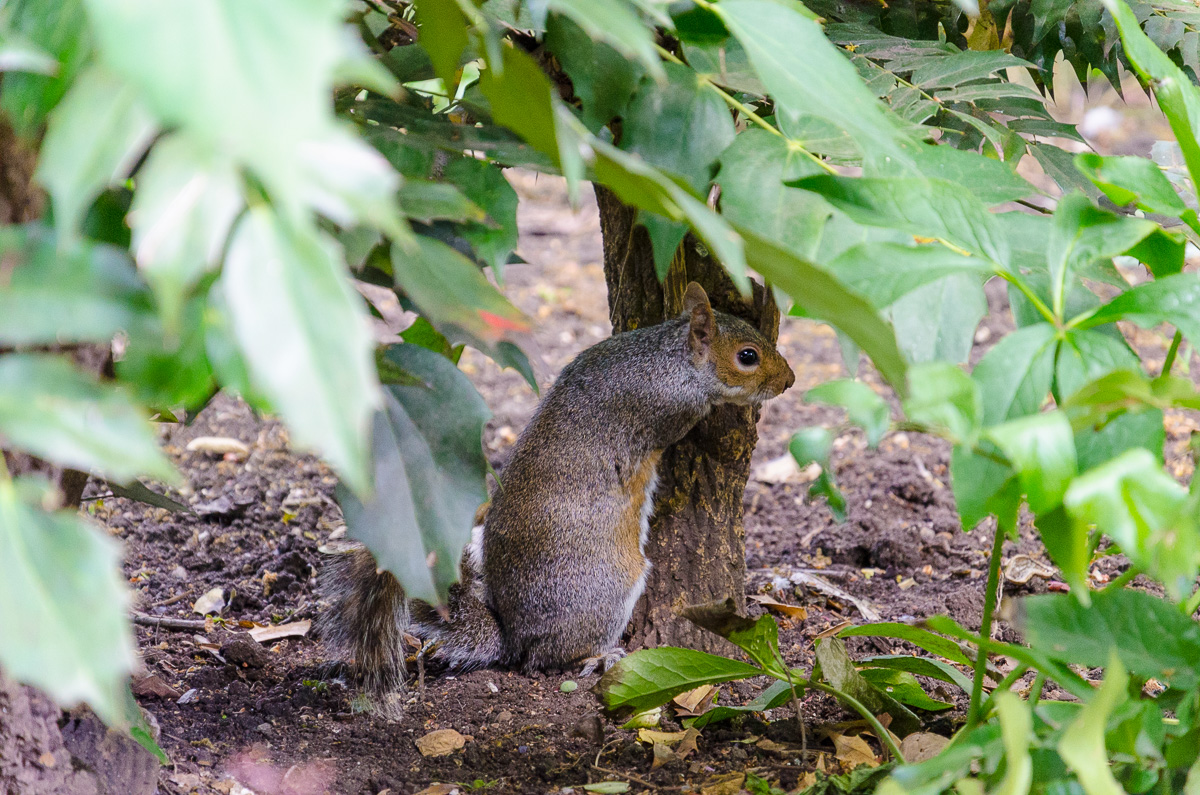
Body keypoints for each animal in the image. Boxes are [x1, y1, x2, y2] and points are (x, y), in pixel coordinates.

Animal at [318, 281, 795, 698]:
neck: (670, 355)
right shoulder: (670, 408)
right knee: (550, 657)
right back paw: (599, 656)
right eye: (748, 356)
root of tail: (514, 639)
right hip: (608, 588)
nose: (789, 381)